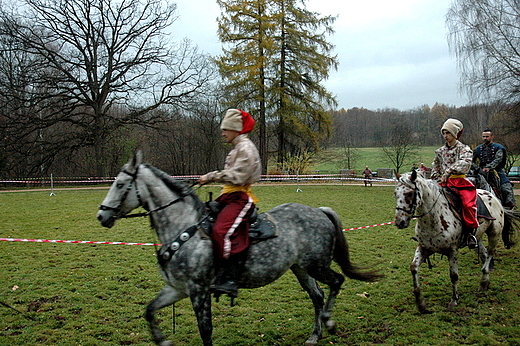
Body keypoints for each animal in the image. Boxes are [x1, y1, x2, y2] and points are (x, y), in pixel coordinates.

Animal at [96, 152, 382, 346]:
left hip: (317, 265)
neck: (184, 226)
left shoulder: (199, 290)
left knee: (336, 281)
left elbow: (206, 330)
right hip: (300, 268)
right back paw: (315, 334)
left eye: (120, 185)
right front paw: (163, 340)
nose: (102, 216)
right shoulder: (176, 288)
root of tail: (319, 211)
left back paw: (329, 321)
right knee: (318, 295)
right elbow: (150, 310)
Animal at [394, 170, 516, 314]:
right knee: (484, 254)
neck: (434, 218)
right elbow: (413, 268)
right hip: (477, 238)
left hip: (494, 234)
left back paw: (483, 281)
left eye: (409, 193)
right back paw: (485, 281)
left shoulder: (452, 250)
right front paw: (421, 303)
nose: (400, 222)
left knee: (490, 254)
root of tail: (494, 197)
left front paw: (454, 301)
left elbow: (454, 276)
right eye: (395, 193)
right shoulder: (424, 248)